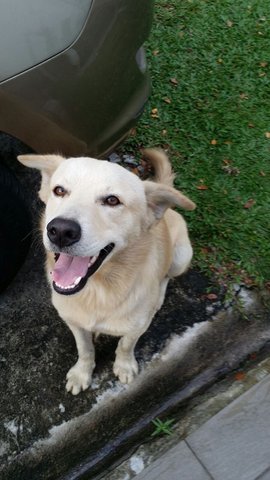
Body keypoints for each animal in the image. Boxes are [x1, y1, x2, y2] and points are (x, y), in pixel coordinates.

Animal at [19, 149, 196, 394]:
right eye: (59, 190)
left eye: (112, 200)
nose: (60, 231)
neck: (98, 291)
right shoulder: (74, 323)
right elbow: (85, 349)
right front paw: (82, 373)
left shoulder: (137, 327)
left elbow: (125, 345)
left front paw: (124, 366)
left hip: (181, 256)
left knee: (166, 277)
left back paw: (159, 297)